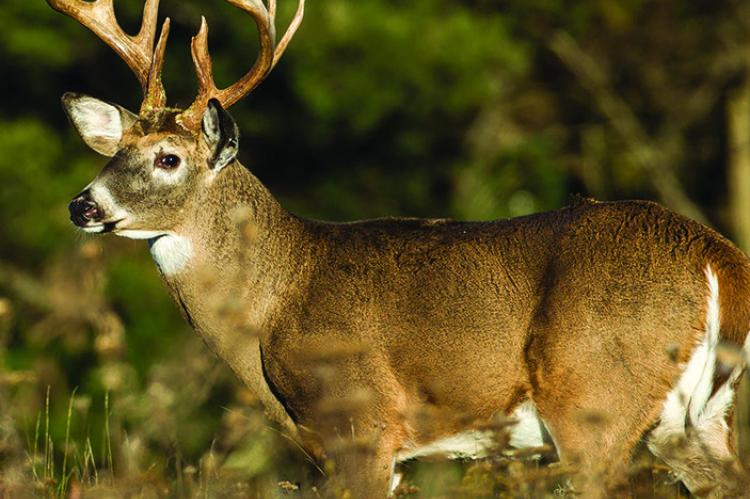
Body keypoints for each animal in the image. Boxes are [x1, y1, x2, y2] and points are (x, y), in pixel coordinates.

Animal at [49, 0, 750, 497]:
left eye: (168, 158)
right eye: (113, 151)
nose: (82, 205)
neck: (276, 298)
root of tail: (714, 255)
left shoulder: (360, 421)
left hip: (592, 399)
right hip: (696, 423)